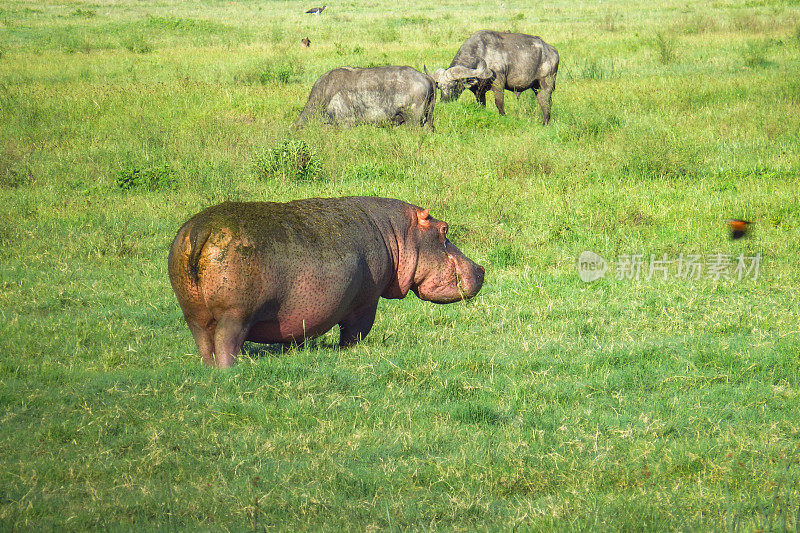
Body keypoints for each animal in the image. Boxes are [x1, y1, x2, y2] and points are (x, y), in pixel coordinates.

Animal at [166, 195, 484, 366]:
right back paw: (232, 369)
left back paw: (210, 368)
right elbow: (355, 331)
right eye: (444, 229)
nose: (481, 268)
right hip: (235, 314)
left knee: (204, 342)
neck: (397, 232)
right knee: (225, 342)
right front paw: (349, 352)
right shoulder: (366, 302)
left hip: (193, 313)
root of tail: (200, 231)